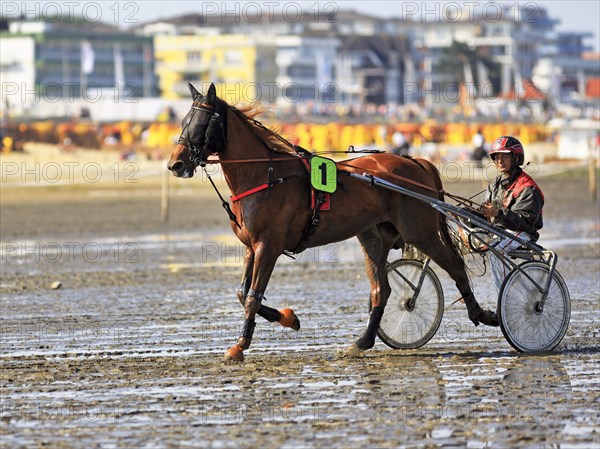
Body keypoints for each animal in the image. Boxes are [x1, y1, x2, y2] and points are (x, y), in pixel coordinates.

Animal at [166, 83, 500, 360]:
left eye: (201, 123)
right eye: (183, 122)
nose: (175, 164)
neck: (267, 176)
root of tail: (415, 161)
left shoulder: (268, 245)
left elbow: (251, 297)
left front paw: (239, 346)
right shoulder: (251, 246)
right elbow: (242, 293)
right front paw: (288, 317)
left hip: (420, 231)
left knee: (454, 266)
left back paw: (482, 314)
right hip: (373, 236)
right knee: (382, 290)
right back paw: (363, 342)